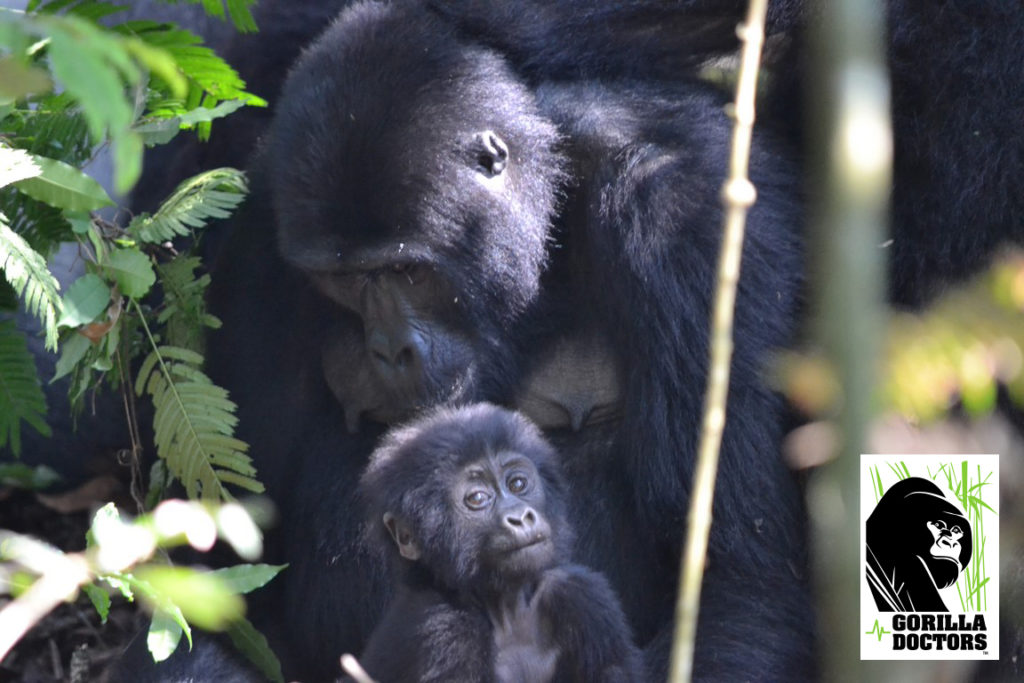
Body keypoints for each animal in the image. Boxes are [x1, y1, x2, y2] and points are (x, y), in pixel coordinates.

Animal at [356, 403, 634, 679]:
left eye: (518, 483)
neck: (507, 611)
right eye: (477, 498)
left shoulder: (581, 594)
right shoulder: (446, 632)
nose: (520, 518)